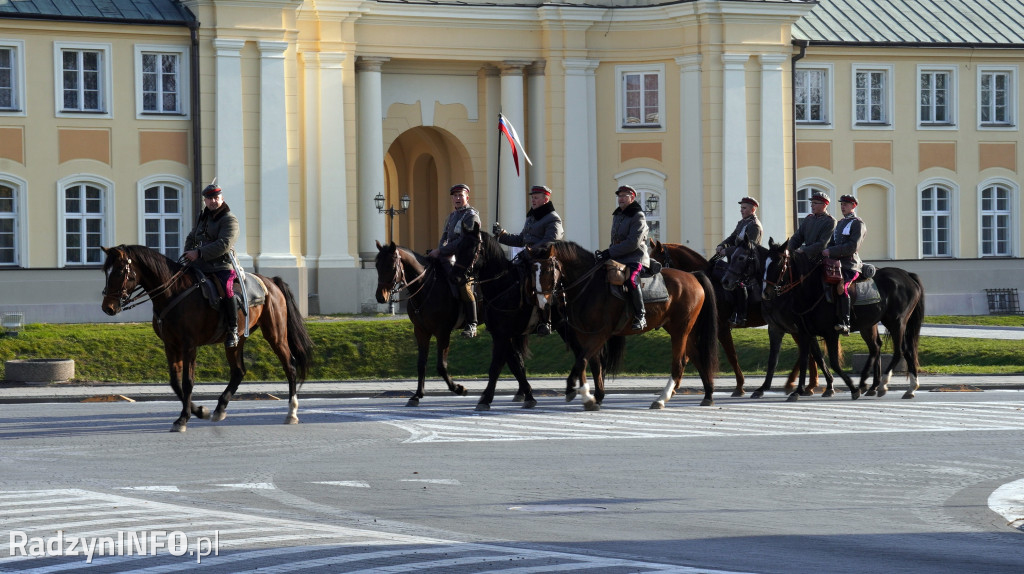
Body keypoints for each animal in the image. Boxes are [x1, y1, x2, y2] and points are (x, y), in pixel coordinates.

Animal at [102, 243, 315, 431]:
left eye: (119, 271)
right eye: (106, 271)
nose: (108, 308)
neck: (173, 292)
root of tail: (270, 281)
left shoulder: (189, 345)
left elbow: (187, 381)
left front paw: (183, 418)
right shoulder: (171, 345)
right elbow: (175, 382)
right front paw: (199, 411)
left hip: (276, 334)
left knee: (290, 365)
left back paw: (292, 412)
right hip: (235, 341)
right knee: (238, 371)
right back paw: (220, 408)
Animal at [374, 239, 473, 405]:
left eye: (392, 267)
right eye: (376, 265)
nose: (381, 297)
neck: (426, 287)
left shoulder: (443, 332)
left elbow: (441, 366)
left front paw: (458, 388)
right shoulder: (421, 331)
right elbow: (421, 363)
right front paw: (418, 394)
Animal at [528, 239, 720, 409]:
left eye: (547, 269)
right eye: (532, 270)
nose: (541, 302)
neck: (589, 286)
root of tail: (693, 275)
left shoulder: (601, 333)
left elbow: (583, 360)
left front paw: (578, 392)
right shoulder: (584, 335)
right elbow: (589, 362)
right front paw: (591, 395)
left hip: (680, 330)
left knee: (679, 362)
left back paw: (662, 398)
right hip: (683, 330)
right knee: (695, 356)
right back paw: (708, 394)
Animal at [651, 239, 827, 396]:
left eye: (657, 261)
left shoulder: (721, 328)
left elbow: (731, 356)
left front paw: (739, 386)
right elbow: (688, 355)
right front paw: (674, 386)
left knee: (807, 349)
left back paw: (808, 385)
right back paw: (800, 383)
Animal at [761, 236, 929, 399]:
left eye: (778, 263)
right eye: (765, 263)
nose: (766, 293)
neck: (811, 289)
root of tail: (907, 275)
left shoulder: (830, 333)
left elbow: (834, 363)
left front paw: (852, 389)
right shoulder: (804, 333)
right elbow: (804, 360)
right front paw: (798, 391)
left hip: (896, 322)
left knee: (899, 351)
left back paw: (882, 384)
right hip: (875, 324)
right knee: (898, 349)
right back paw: (907, 388)